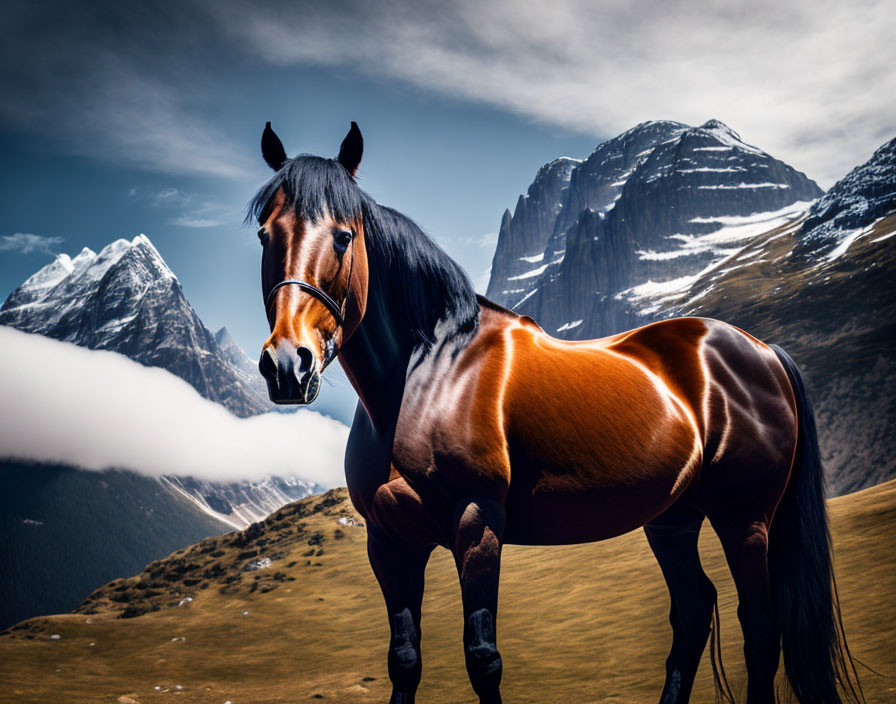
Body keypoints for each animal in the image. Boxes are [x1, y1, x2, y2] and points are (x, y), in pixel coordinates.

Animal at [247, 122, 860, 704]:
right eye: (264, 235)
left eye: (343, 237)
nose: (288, 365)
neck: (428, 375)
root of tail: (762, 351)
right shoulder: (389, 540)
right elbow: (404, 661)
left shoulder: (477, 524)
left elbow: (483, 659)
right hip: (674, 519)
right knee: (692, 613)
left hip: (745, 519)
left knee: (759, 630)